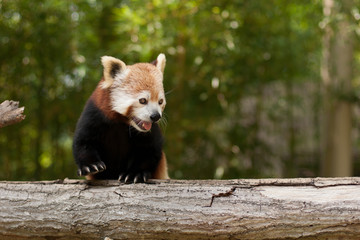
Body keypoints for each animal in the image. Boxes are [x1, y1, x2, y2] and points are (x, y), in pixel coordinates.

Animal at [73, 53, 170, 183]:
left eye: (160, 102)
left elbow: (149, 149)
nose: (155, 116)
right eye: (143, 100)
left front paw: (135, 173)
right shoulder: (95, 113)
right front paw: (90, 165)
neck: (121, 122)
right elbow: (83, 141)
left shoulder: (150, 131)